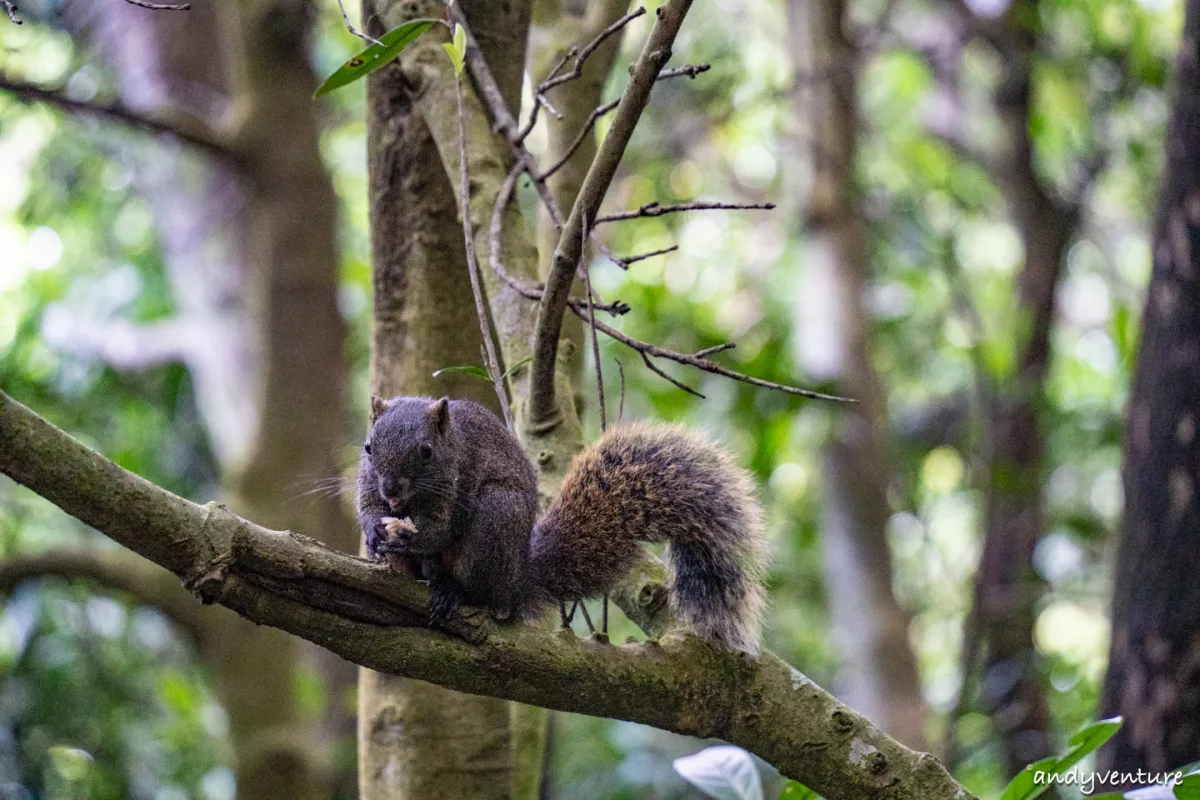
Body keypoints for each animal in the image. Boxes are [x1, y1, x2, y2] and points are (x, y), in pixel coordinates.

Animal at [357, 393, 768, 652]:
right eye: (368, 446)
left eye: (426, 451)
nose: (392, 490)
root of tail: (518, 581)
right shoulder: (369, 485)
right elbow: (367, 508)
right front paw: (376, 531)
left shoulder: (454, 484)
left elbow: (440, 529)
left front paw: (407, 537)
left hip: (496, 515)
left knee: (478, 590)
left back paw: (450, 590)